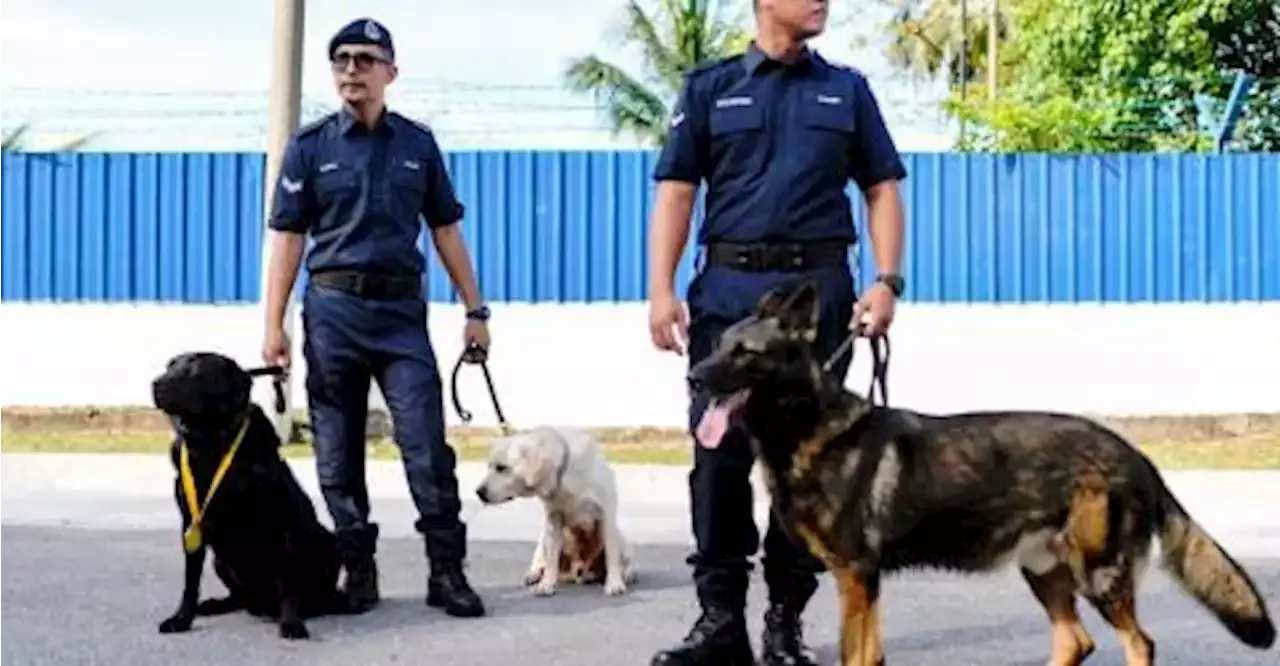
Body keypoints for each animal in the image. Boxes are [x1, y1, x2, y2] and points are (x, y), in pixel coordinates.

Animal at [151, 353, 355, 640]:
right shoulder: (191, 525)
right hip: (221, 560)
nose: (155, 384)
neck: (213, 445)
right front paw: (181, 619)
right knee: (241, 596)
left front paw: (291, 622)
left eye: (196, 368)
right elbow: (190, 582)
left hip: (327, 543)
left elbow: (288, 583)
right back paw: (217, 604)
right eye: (170, 366)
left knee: (313, 593)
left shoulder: (282, 522)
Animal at [476, 427, 634, 599]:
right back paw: (534, 574)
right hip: (546, 537)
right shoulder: (553, 518)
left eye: (501, 467)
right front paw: (546, 585)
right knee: (542, 559)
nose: (479, 492)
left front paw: (614, 584)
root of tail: (578, 571)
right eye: (490, 466)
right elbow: (552, 558)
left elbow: (612, 555)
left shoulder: (607, 513)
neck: (564, 475)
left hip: (620, 538)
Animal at [686, 281, 1274, 666]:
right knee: (1076, 643)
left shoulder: (855, 576)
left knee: (1138, 644)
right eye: (717, 346)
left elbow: (856, 656)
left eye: (747, 353)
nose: (693, 376)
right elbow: (869, 655)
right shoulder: (863, 582)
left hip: (1097, 575)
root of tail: (1135, 455)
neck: (806, 425)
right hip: (1043, 570)